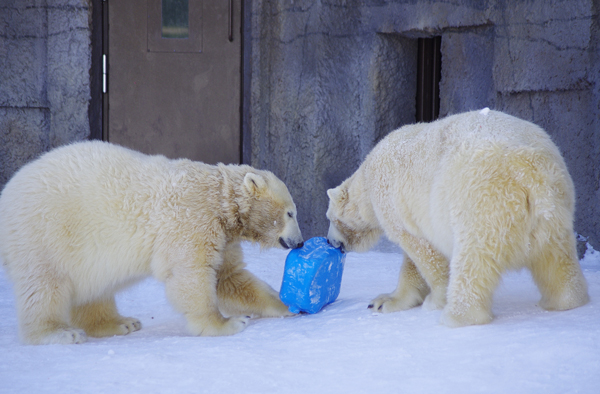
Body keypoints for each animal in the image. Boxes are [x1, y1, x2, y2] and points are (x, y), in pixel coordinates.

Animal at [0, 140, 302, 344]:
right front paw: (228, 324)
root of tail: (6, 195)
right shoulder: (192, 219)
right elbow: (192, 275)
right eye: (291, 213)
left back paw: (120, 323)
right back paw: (61, 332)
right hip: (45, 233)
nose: (299, 243)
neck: (219, 198)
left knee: (94, 288)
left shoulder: (223, 235)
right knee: (44, 286)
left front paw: (287, 305)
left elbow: (230, 277)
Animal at [326, 108, 588, 326]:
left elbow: (423, 253)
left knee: (474, 260)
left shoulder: (395, 204)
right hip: (557, 207)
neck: (367, 181)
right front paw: (384, 301)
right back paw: (566, 300)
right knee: (557, 257)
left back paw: (456, 315)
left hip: (483, 201)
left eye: (329, 217)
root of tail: (530, 173)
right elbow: (413, 261)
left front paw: (432, 300)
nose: (330, 241)